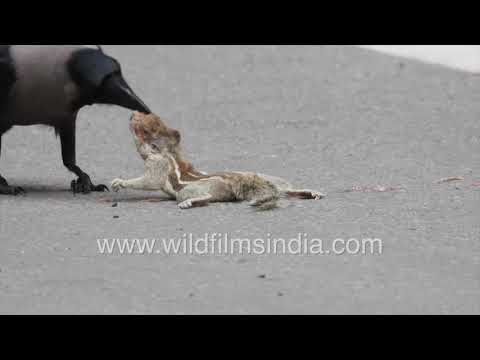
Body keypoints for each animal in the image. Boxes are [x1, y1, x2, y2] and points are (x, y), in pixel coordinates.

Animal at [110, 112, 324, 208]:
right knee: (287, 190)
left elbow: (148, 181)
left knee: (207, 197)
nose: (132, 114)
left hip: (189, 190)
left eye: (144, 131)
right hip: (275, 182)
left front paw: (120, 182)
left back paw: (191, 202)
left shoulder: (158, 168)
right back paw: (312, 192)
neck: (169, 152)